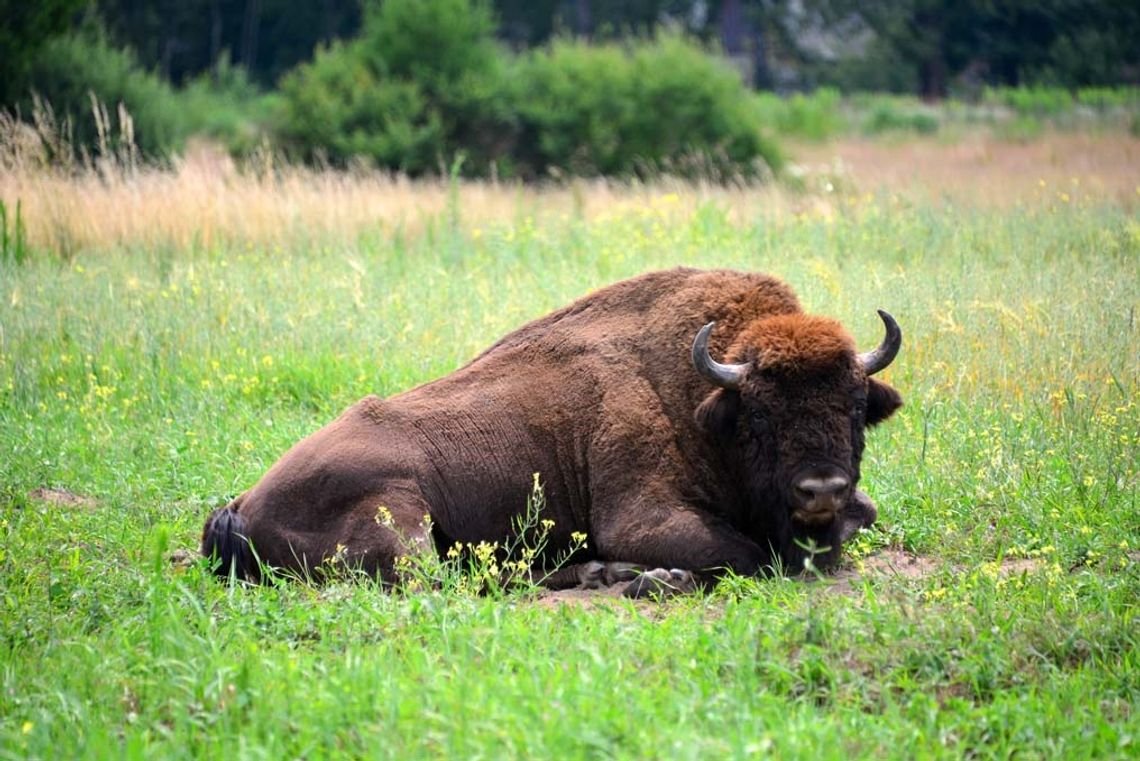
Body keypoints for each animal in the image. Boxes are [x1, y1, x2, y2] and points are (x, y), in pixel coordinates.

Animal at [202, 267, 898, 592]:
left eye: (855, 405)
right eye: (758, 414)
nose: (821, 490)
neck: (697, 397)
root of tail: (241, 503)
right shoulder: (640, 517)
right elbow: (747, 555)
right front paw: (657, 576)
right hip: (401, 514)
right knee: (452, 579)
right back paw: (616, 576)